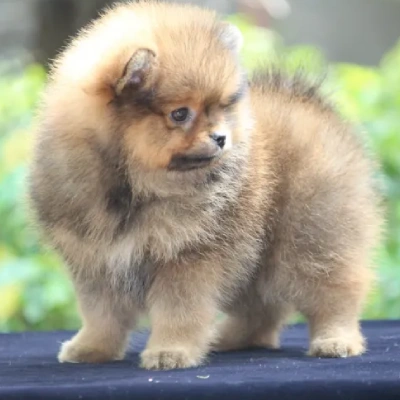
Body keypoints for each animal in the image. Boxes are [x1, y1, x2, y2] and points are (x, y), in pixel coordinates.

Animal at [28, 0, 382, 370]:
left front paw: (170, 351)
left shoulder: (187, 257)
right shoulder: (97, 259)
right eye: (180, 114)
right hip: (253, 255)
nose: (222, 137)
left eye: (221, 107)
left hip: (314, 233)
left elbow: (179, 311)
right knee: (261, 308)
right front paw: (92, 348)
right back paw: (231, 339)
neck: (131, 186)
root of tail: (311, 105)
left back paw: (335, 340)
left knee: (333, 290)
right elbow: (101, 314)